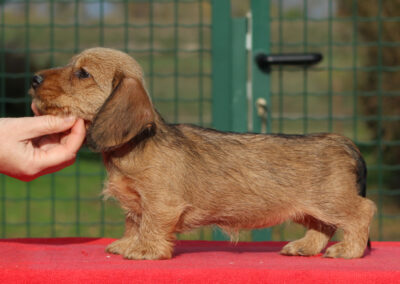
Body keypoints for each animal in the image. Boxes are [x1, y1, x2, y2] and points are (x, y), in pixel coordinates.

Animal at [29, 47, 376, 260]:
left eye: (82, 73)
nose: (33, 79)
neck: (136, 144)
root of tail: (342, 142)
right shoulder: (137, 203)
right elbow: (134, 221)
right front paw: (128, 243)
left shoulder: (160, 202)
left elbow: (151, 223)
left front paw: (145, 250)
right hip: (311, 207)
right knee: (321, 227)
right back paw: (305, 246)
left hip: (333, 201)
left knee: (363, 212)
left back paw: (349, 250)